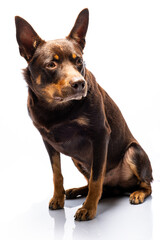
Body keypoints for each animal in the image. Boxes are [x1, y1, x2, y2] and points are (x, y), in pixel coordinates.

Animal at [15, 8, 152, 221]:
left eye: (78, 61)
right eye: (51, 65)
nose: (80, 83)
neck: (57, 108)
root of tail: (119, 187)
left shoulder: (100, 136)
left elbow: (96, 178)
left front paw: (88, 208)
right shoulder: (48, 142)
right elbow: (57, 174)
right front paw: (59, 198)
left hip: (133, 152)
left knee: (145, 185)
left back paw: (137, 193)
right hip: (77, 160)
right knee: (100, 186)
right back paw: (77, 190)